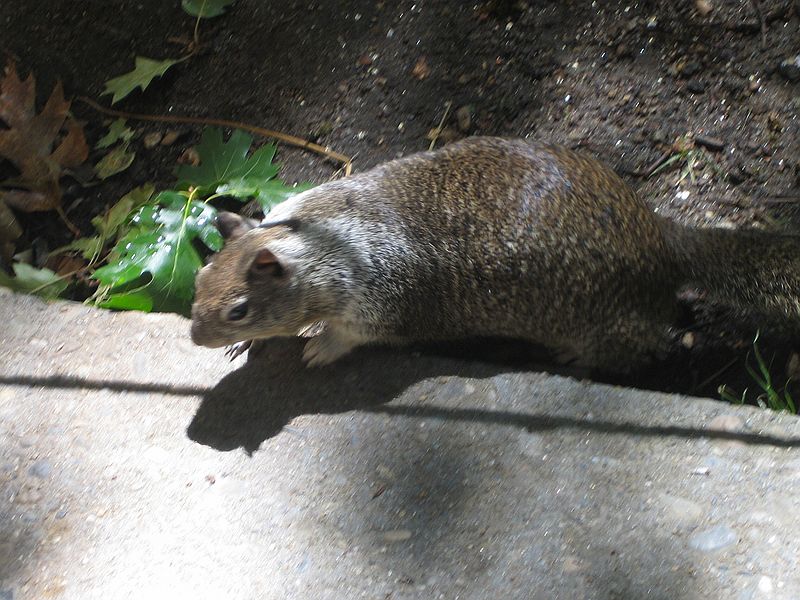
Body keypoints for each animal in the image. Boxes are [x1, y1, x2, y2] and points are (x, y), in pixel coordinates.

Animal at [189, 137, 800, 370]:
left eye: (238, 308)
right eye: (197, 279)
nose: (195, 337)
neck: (323, 243)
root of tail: (659, 234)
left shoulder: (382, 300)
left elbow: (359, 334)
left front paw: (320, 346)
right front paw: (253, 345)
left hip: (607, 320)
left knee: (639, 347)